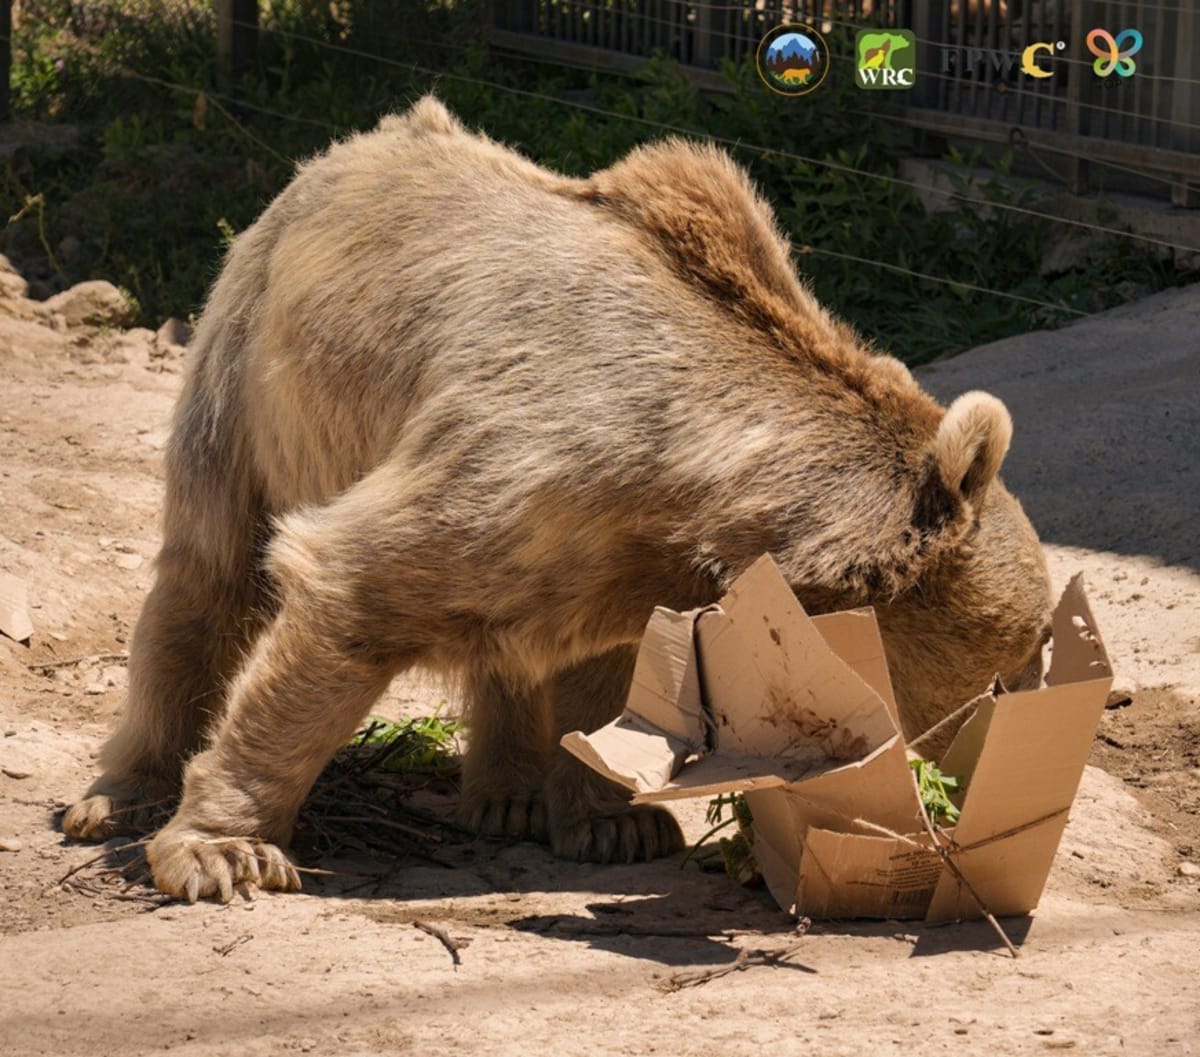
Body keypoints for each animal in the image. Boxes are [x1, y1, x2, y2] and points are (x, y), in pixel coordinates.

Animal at [62, 97, 1052, 903]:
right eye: (1022, 649)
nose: (981, 758)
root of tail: (355, 143)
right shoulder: (520, 473)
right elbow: (350, 591)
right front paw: (221, 850)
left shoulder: (607, 551)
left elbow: (601, 677)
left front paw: (618, 820)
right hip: (252, 369)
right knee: (209, 570)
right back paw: (121, 792)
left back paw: (506, 793)